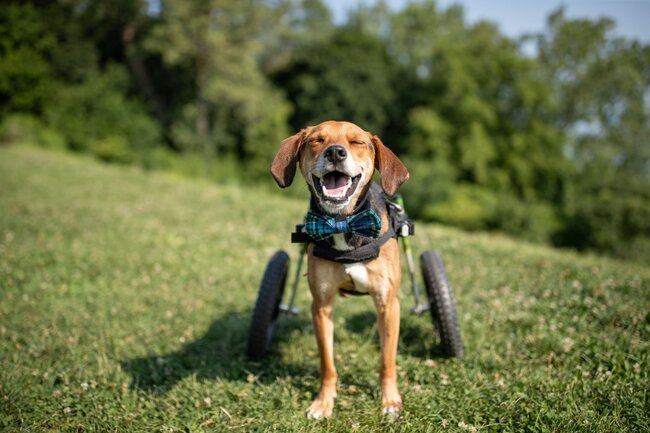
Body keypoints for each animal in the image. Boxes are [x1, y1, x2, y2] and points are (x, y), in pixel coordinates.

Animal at [270, 120, 408, 416]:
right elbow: (328, 363)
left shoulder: (388, 304)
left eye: (357, 142)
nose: (335, 152)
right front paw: (323, 402)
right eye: (316, 140)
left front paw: (390, 400)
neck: (343, 221)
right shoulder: (321, 306)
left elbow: (387, 360)